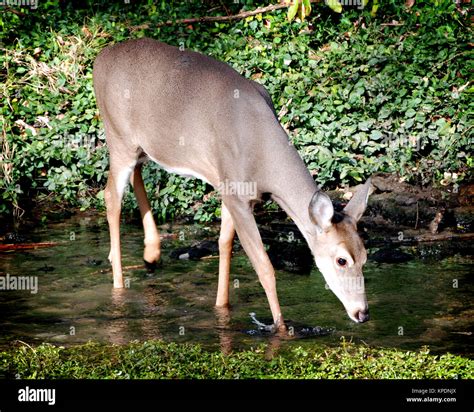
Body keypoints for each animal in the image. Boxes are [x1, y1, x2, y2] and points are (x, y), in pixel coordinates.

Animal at [93, 38, 374, 332]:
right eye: (341, 259)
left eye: (365, 255)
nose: (362, 313)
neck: (264, 159)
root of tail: (100, 58)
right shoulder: (238, 195)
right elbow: (264, 265)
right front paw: (280, 327)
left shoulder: (228, 188)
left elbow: (225, 244)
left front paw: (221, 307)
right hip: (118, 136)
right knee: (111, 196)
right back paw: (119, 285)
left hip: (139, 145)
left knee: (136, 173)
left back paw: (151, 253)